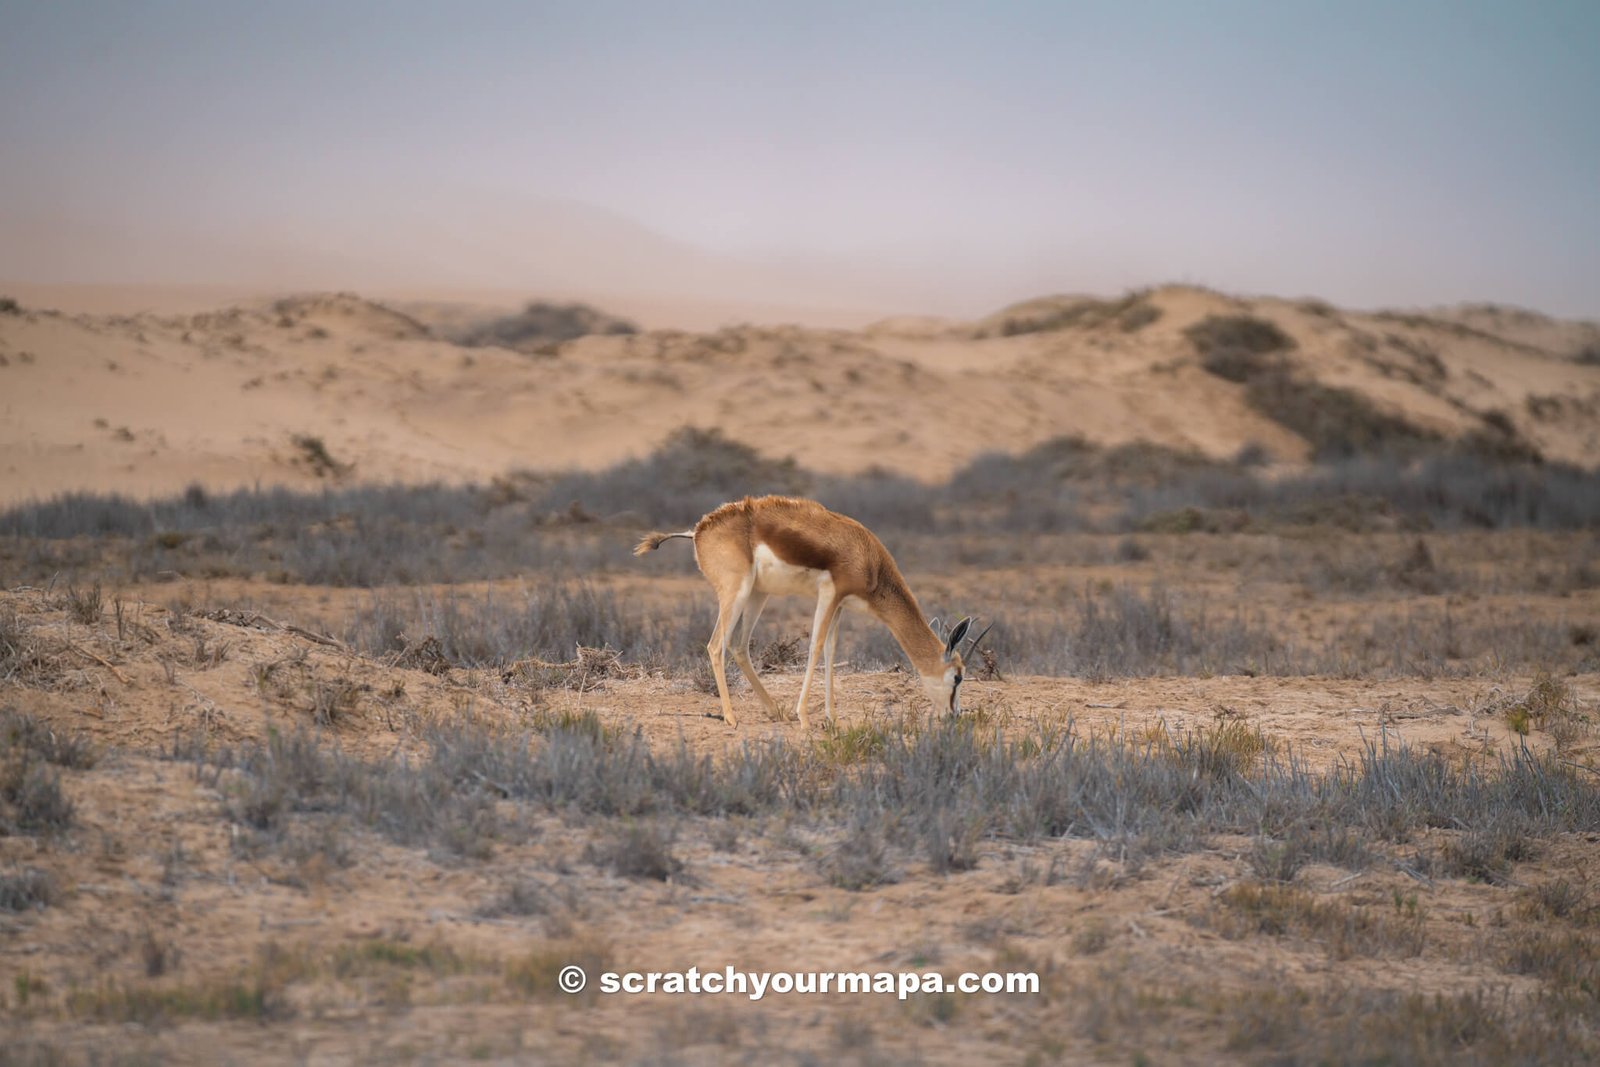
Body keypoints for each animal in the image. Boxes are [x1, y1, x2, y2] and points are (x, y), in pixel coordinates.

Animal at [630, 495, 979, 729]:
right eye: (958, 676)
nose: (954, 715)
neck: (867, 559)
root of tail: (699, 530)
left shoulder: (839, 605)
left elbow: (830, 652)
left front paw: (831, 717)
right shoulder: (830, 594)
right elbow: (815, 648)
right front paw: (804, 718)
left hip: (758, 594)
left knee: (738, 645)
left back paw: (774, 711)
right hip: (736, 592)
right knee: (716, 645)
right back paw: (731, 717)